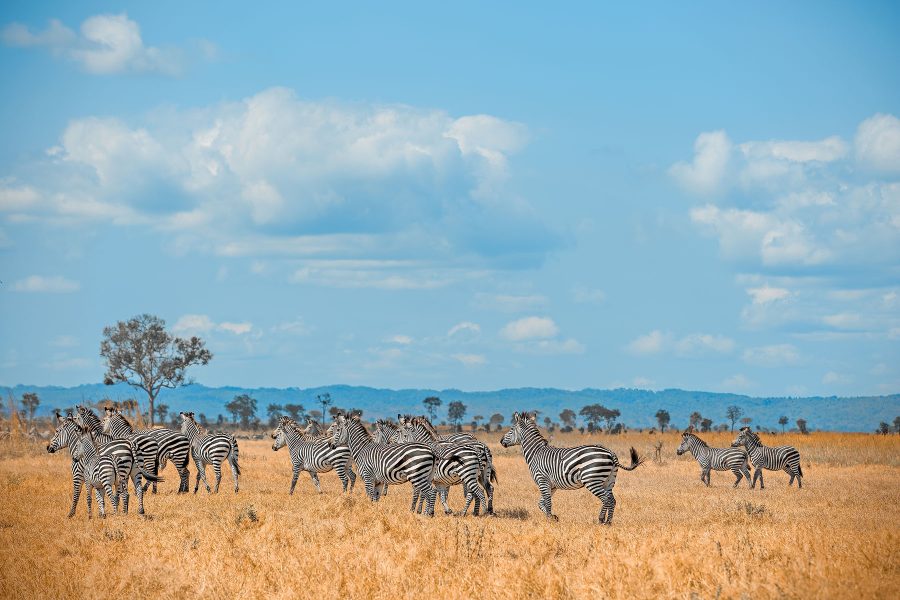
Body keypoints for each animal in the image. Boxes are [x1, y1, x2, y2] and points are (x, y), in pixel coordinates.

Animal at [502, 410, 644, 524]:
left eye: (511, 429)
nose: (501, 441)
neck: (536, 452)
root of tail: (610, 452)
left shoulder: (542, 480)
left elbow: (547, 502)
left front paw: (549, 520)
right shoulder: (552, 485)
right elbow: (541, 503)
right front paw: (553, 517)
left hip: (592, 480)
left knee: (606, 499)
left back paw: (600, 520)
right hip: (609, 480)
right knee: (612, 500)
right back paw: (608, 522)